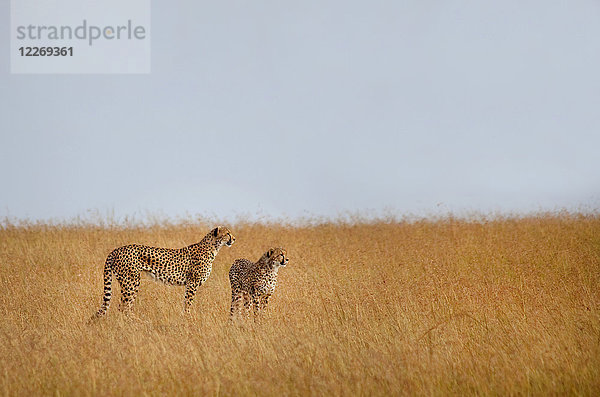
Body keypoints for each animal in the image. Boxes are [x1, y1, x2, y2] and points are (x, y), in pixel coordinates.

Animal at [91, 224, 234, 318]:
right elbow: (188, 302)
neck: (214, 248)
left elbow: (186, 301)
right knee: (124, 306)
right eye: (227, 233)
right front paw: (187, 317)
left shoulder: (190, 283)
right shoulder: (192, 283)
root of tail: (117, 249)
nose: (234, 239)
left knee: (126, 305)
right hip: (131, 281)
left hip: (131, 282)